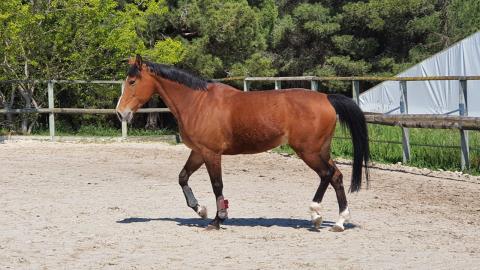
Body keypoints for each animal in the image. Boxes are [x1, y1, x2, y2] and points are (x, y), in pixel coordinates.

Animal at [114, 53, 370, 231]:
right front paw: (201, 210)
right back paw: (339, 222)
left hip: (308, 151)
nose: (120, 113)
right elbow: (183, 177)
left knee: (326, 175)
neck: (197, 102)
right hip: (320, 150)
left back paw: (316, 213)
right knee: (336, 177)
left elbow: (217, 186)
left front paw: (217, 220)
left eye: (133, 81)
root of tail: (326, 98)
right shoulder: (198, 152)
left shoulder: (211, 153)